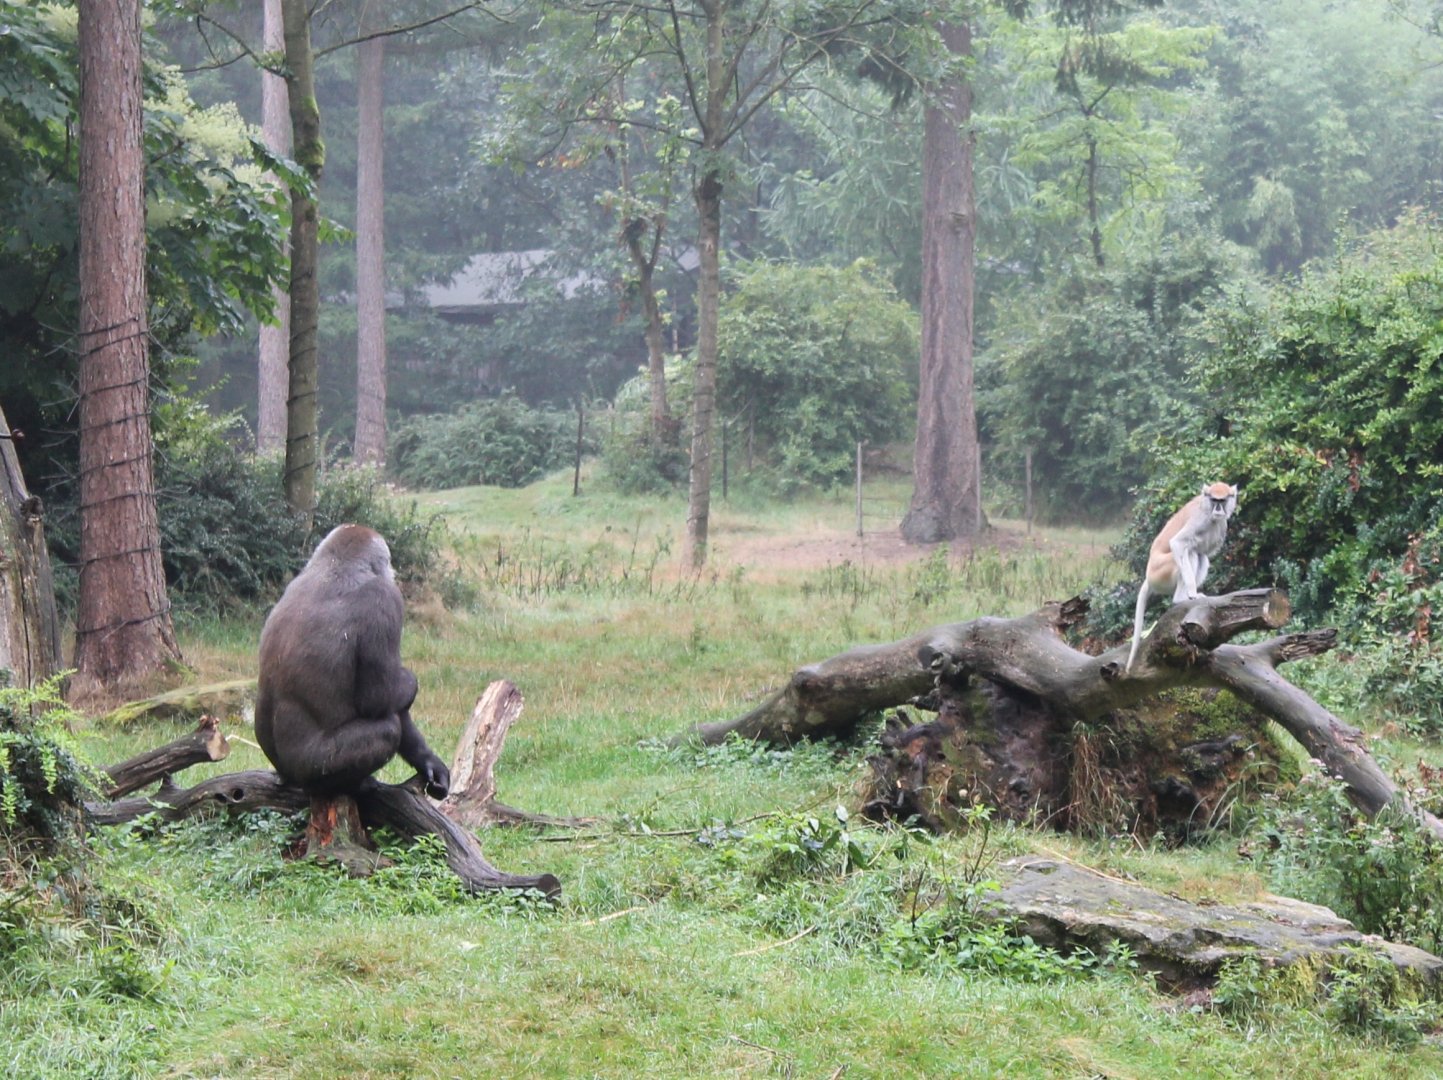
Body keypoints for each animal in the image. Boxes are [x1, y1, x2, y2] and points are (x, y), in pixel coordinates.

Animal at [254, 524, 451, 799]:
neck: (337, 565)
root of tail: (289, 777)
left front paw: (428, 761)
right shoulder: (384, 598)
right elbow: (379, 698)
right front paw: (411, 684)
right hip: (314, 769)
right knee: (387, 729)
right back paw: (352, 785)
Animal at [1125, 483, 1238, 672]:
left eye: (1222, 500)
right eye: (1214, 500)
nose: (1218, 508)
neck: (1206, 507)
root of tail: (1148, 576)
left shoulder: (1221, 523)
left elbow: (1205, 551)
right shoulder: (1200, 520)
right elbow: (1178, 544)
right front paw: (1192, 593)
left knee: (1201, 556)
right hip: (1161, 572)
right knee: (1190, 553)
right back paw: (1181, 598)